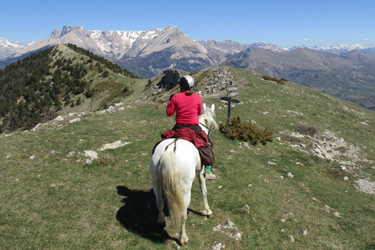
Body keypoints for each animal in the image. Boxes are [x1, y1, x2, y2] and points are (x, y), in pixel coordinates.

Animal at [151, 103, 220, 244]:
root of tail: (170, 150)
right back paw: (183, 238)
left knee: (159, 202)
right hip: (184, 189)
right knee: (182, 213)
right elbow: (204, 191)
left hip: (156, 181)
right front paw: (207, 210)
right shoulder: (201, 173)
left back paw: (161, 221)